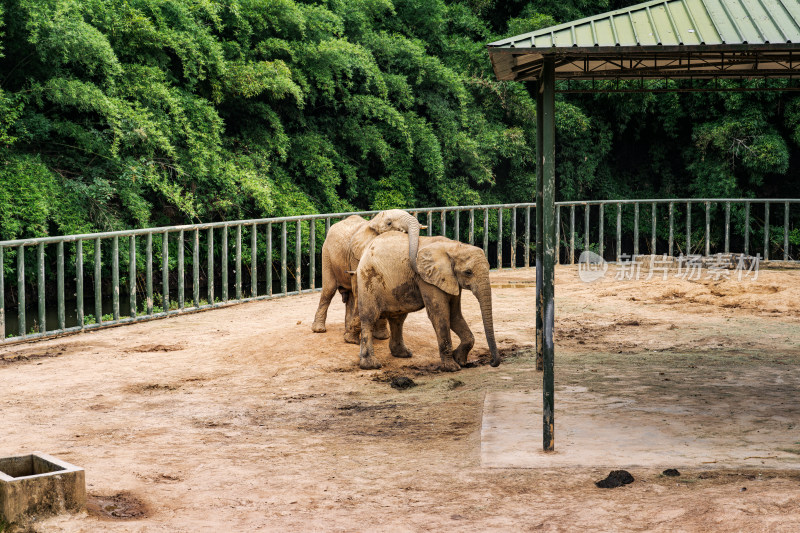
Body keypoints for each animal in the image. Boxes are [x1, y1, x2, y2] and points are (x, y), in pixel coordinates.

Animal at [312, 210, 424, 342]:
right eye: (389, 223)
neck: (372, 222)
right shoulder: (356, 256)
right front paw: (354, 339)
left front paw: (381, 337)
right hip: (327, 254)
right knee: (329, 290)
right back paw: (319, 330)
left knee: (350, 296)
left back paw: (346, 331)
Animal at [354, 231, 496, 372]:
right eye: (468, 272)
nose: (492, 363)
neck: (453, 246)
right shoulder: (427, 278)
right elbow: (440, 315)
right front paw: (452, 367)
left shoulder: (450, 279)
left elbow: (454, 314)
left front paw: (460, 360)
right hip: (367, 278)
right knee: (369, 318)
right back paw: (371, 365)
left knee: (398, 319)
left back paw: (403, 354)